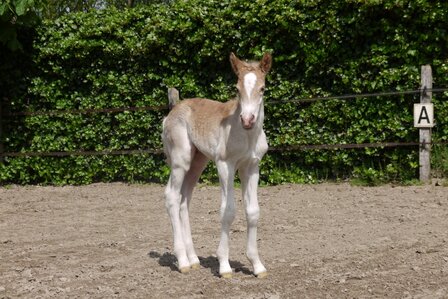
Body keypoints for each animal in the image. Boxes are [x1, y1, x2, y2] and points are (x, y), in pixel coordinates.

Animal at [163, 52, 272, 278]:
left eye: (263, 88)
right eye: (237, 89)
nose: (248, 120)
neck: (246, 135)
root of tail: (173, 111)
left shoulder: (251, 167)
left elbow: (253, 211)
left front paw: (257, 266)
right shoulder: (225, 165)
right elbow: (228, 210)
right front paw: (224, 266)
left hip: (198, 162)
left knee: (184, 200)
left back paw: (194, 260)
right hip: (181, 160)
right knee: (171, 196)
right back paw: (183, 262)